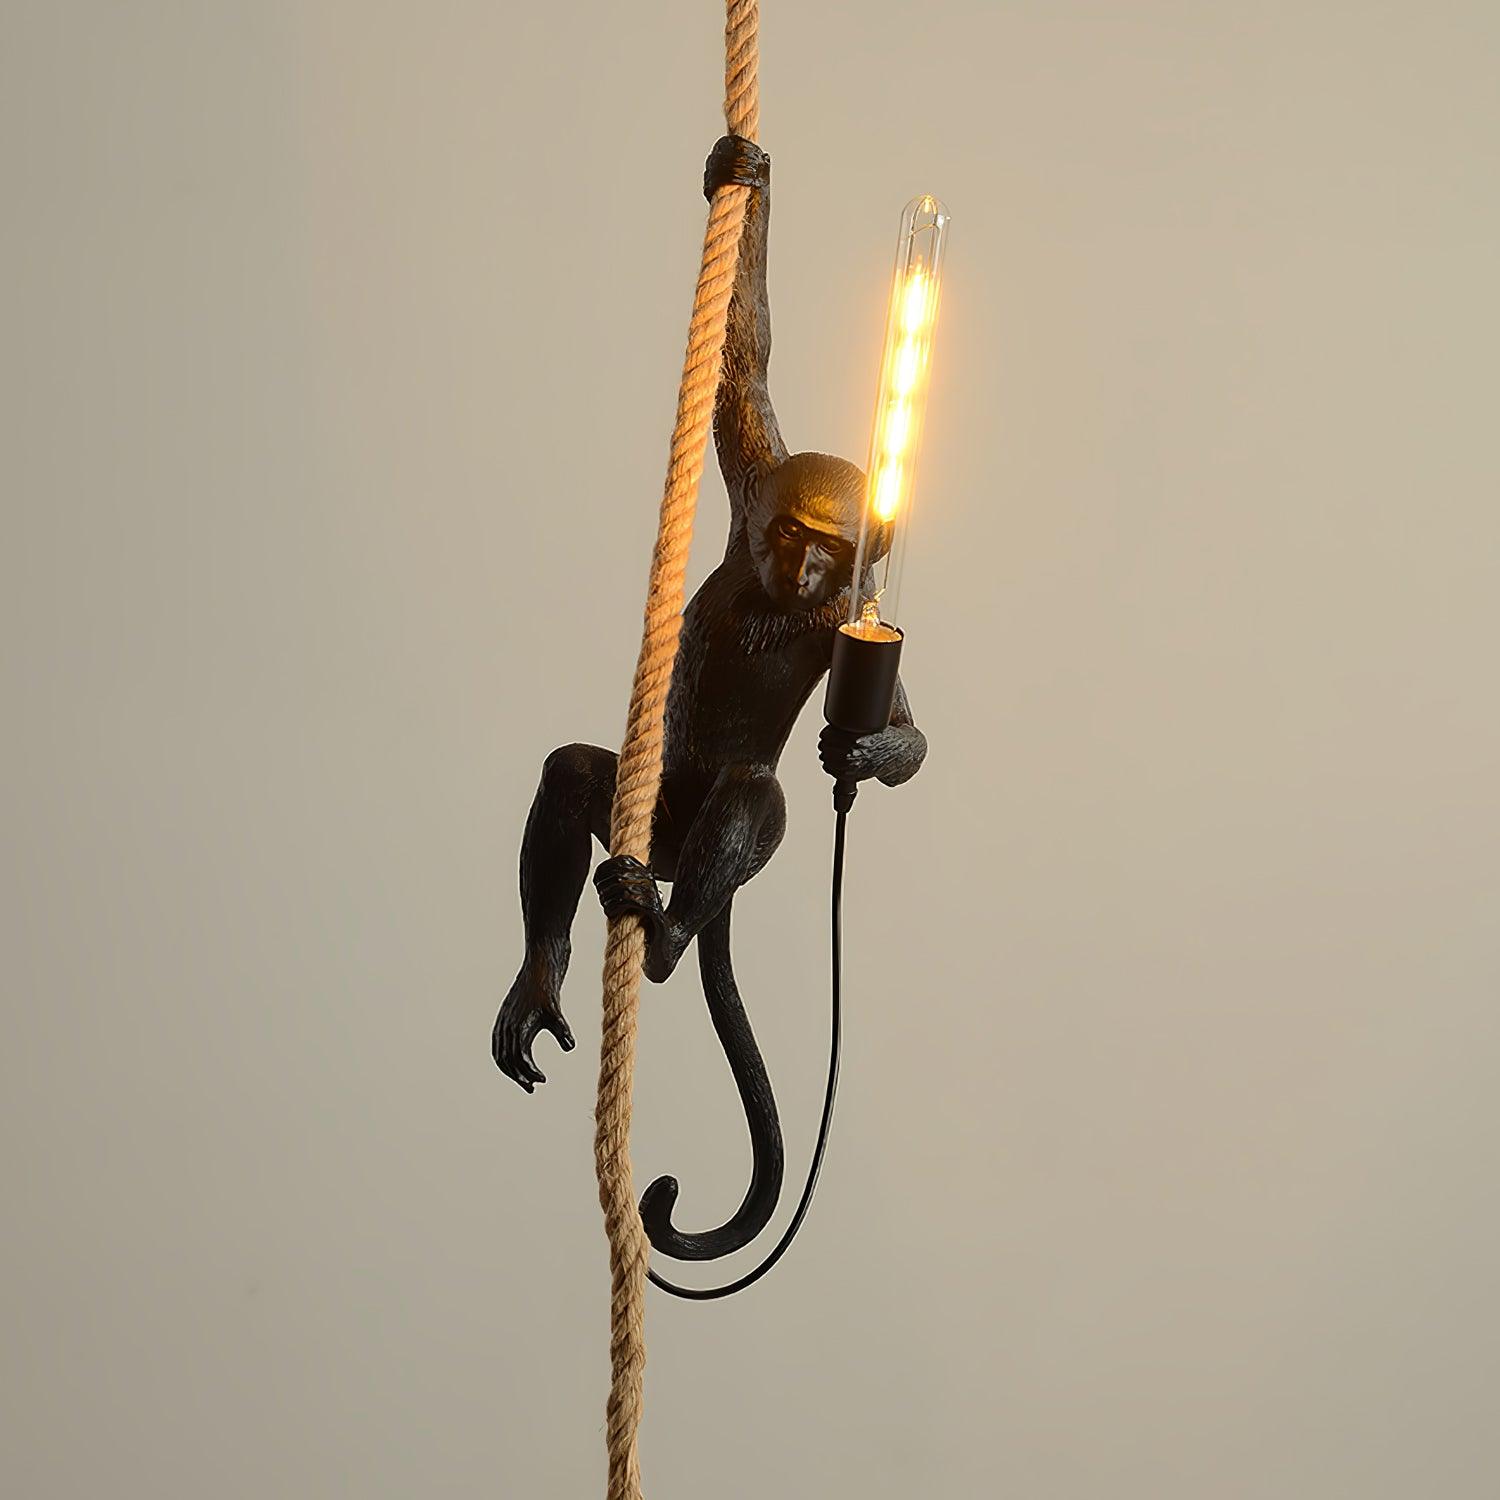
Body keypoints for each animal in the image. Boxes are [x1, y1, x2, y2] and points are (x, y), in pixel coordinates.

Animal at [492, 135, 928, 1261]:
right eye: (793, 532)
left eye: (833, 551)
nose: (811, 569)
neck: (786, 599)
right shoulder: (751, 477)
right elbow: (744, 360)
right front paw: (744, 177)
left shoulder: (857, 617)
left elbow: (906, 728)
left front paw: (865, 754)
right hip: (645, 817)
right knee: (575, 777)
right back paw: (544, 976)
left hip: (696, 839)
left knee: (752, 798)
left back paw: (667, 938)